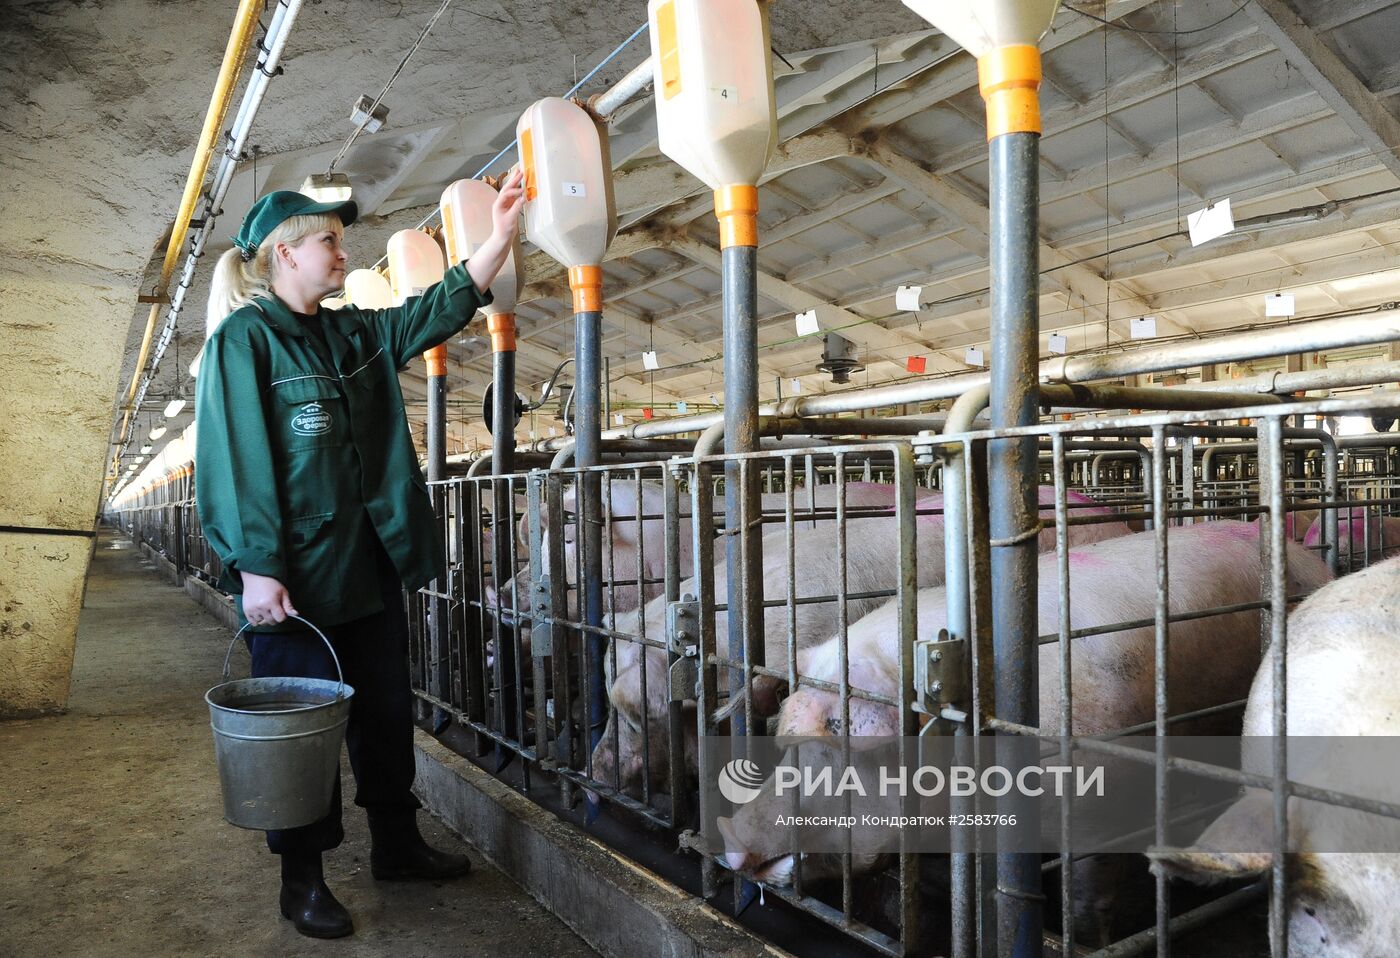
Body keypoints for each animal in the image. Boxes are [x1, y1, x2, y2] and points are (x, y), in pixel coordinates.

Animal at [722, 523, 1332, 941]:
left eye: (837, 729)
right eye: (786, 738)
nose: (729, 833)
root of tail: (1312, 563)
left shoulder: (1098, 802)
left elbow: (1084, 896)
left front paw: (1081, 938)